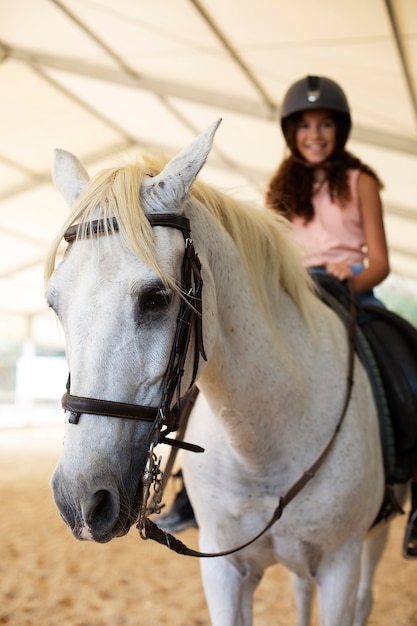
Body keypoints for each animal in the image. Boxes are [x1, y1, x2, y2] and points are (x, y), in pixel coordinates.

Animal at [47, 119, 404, 620]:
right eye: (54, 304)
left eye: (156, 298)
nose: (80, 499)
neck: (262, 445)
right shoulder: (224, 573)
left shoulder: (340, 565)